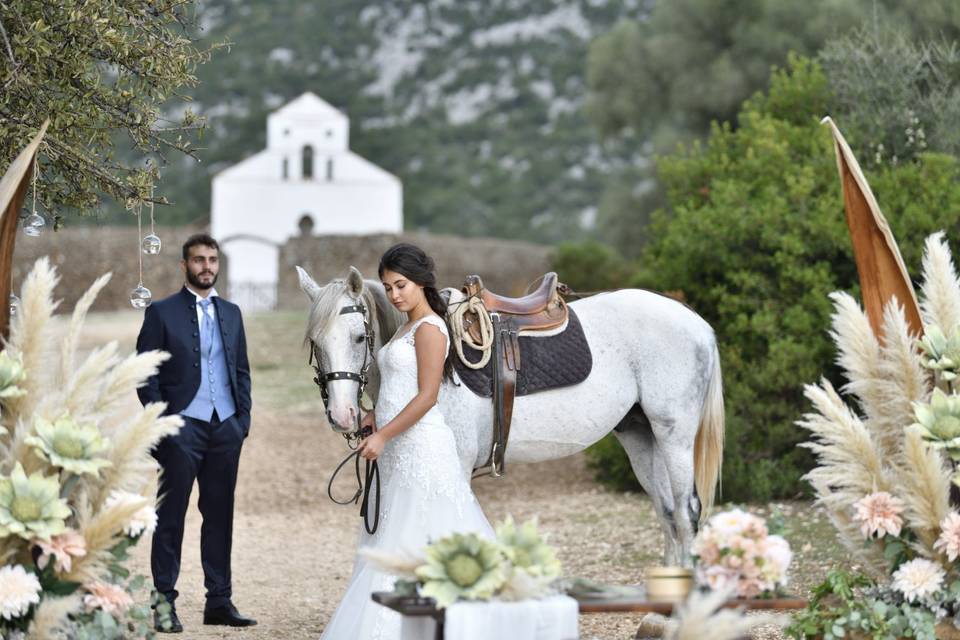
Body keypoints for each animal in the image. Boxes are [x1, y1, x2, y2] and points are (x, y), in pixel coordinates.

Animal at [296, 266, 724, 564]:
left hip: (674, 436)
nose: (342, 414)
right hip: (639, 434)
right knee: (667, 514)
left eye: (358, 337)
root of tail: (698, 324)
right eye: (316, 342)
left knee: (686, 514)